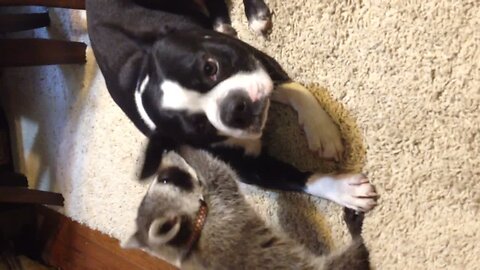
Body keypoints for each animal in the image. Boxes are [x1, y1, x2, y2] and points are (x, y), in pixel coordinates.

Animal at [87, 0, 378, 211]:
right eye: (200, 126)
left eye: (210, 67)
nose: (233, 107)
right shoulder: (251, 169)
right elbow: (298, 179)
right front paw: (343, 190)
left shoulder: (257, 61)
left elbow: (298, 90)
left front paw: (322, 130)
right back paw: (223, 23)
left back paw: (253, 14)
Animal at [124, 147, 372, 268]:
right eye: (165, 180)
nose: (164, 154)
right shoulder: (225, 204)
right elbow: (218, 167)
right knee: (353, 257)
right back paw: (357, 235)